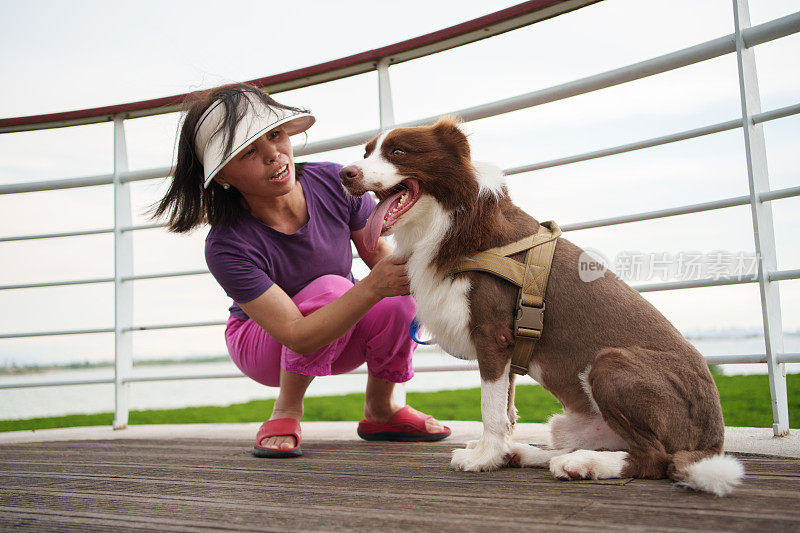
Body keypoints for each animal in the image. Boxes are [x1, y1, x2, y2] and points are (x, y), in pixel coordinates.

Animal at [338, 116, 744, 494]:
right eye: (365, 153)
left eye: (399, 152)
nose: (345, 174)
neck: (454, 220)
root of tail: (712, 437)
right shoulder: (507, 342)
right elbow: (505, 406)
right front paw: (498, 452)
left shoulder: (492, 333)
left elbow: (491, 408)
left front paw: (485, 458)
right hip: (570, 421)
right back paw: (529, 453)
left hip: (610, 363)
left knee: (654, 458)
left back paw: (583, 464)